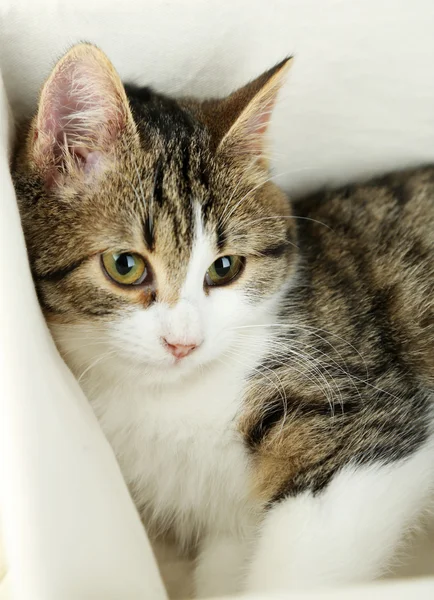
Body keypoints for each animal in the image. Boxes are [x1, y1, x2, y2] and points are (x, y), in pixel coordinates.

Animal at [11, 44, 432, 596]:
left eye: (225, 267)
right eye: (125, 266)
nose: (183, 343)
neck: (163, 398)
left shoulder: (366, 412)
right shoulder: (227, 528)